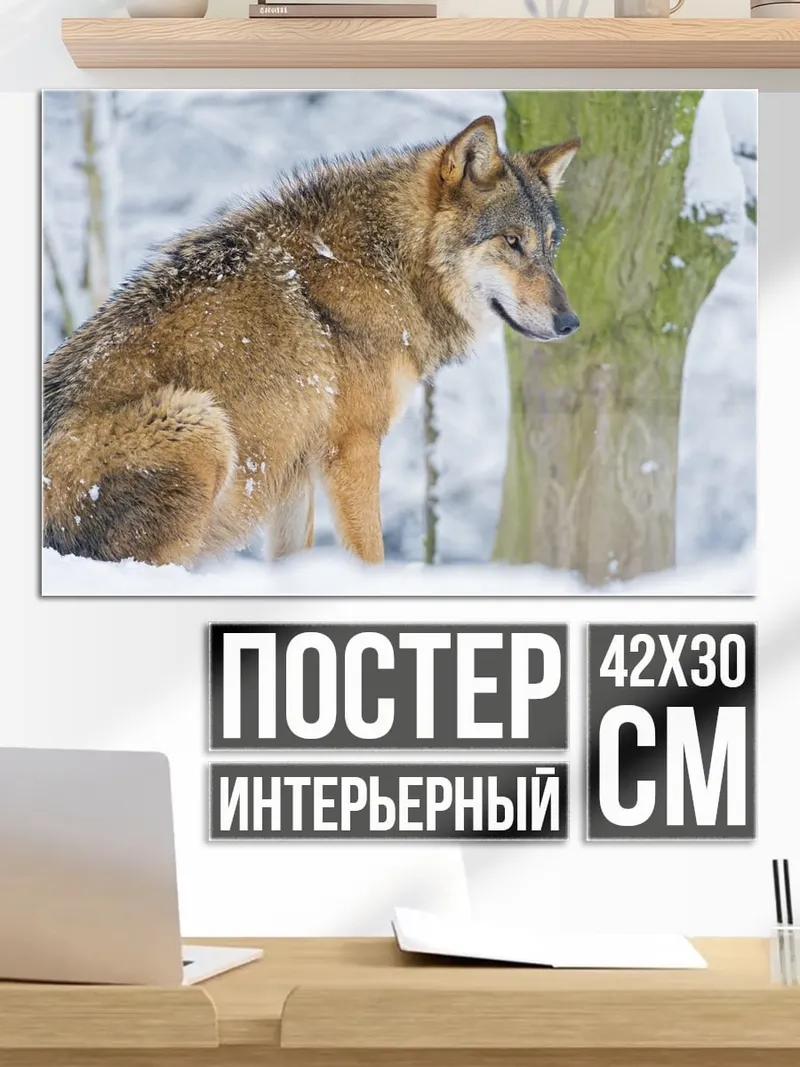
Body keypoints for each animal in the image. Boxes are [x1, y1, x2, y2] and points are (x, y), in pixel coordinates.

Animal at [43, 115, 581, 567]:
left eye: (551, 246)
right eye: (512, 242)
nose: (571, 321)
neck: (391, 263)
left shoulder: (295, 470)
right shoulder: (353, 447)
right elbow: (371, 555)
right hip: (199, 422)